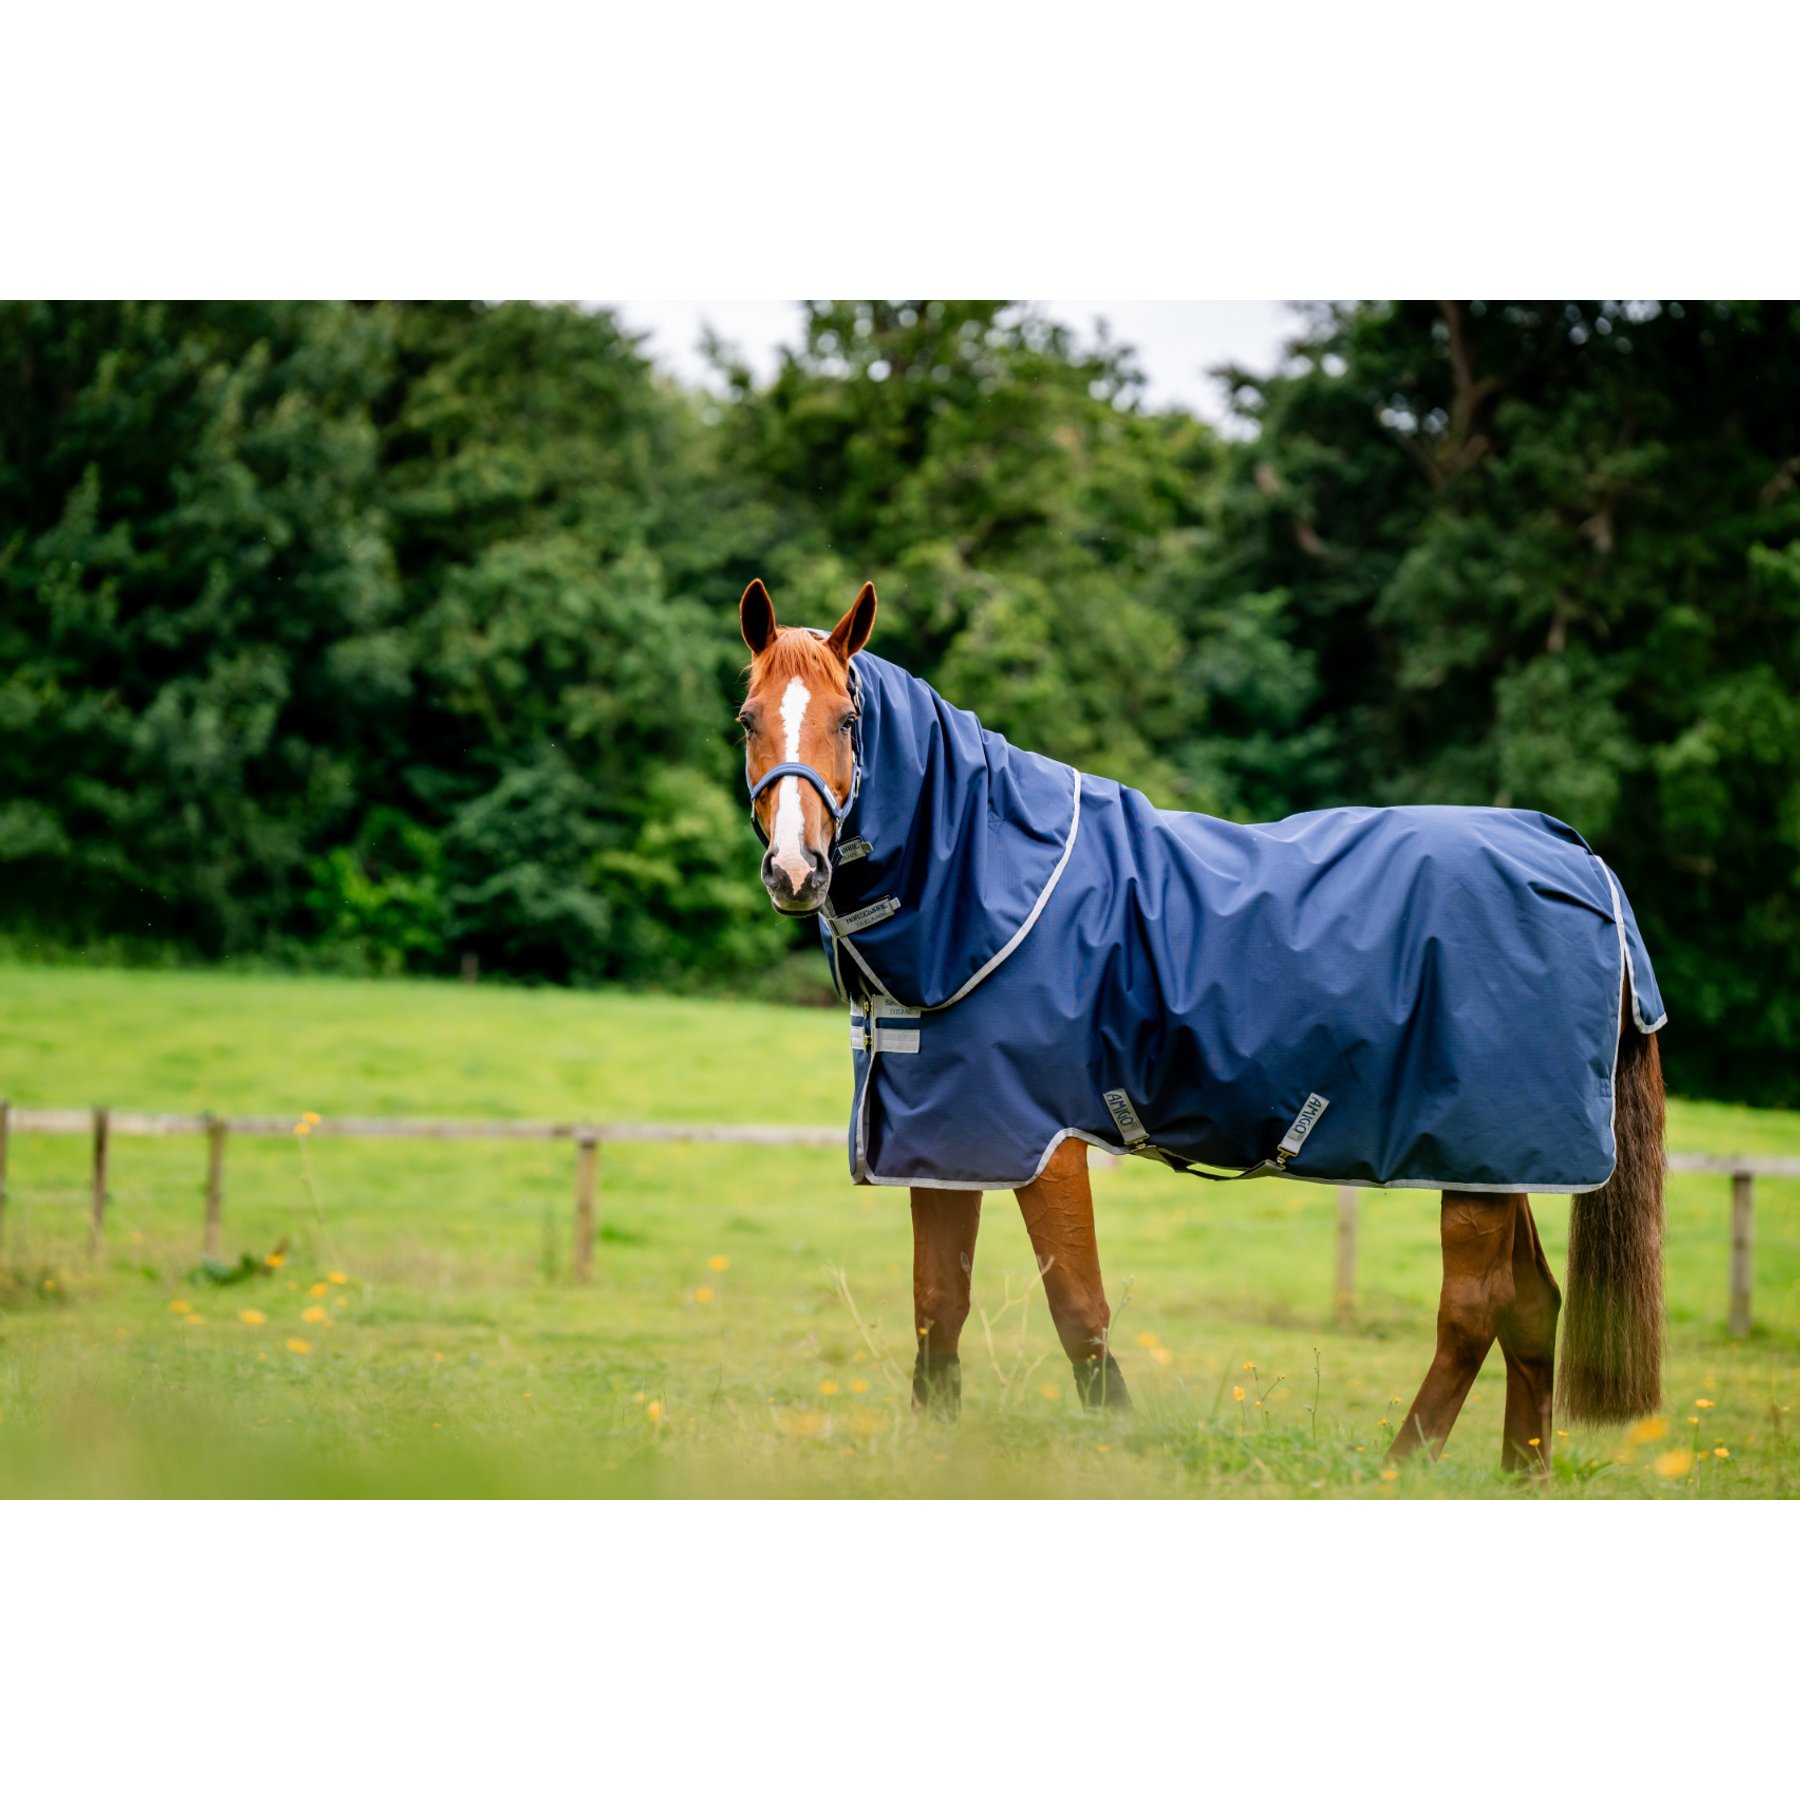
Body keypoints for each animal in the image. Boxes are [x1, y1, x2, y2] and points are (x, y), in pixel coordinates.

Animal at [736, 577, 1666, 1470]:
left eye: (849, 719)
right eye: (748, 719)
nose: (796, 869)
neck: (989, 884)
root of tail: (1581, 860)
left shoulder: (1044, 1142)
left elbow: (1078, 1310)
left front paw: (1117, 1444)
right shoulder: (946, 1138)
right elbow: (939, 1307)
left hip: (1476, 1162)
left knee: (1472, 1312)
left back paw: (1401, 1467)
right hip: (1502, 1166)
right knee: (1532, 1307)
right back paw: (1521, 1475)